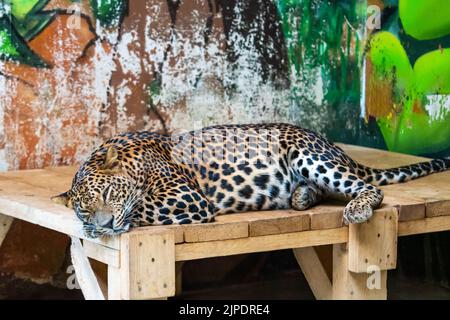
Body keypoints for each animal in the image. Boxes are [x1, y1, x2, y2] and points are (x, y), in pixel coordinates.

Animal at [52, 122, 450, 238]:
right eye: (83, 209)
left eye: (108, 192)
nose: (102, 225)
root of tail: (333, 145)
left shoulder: (187, 199)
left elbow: (139, 208)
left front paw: (109, 225)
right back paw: (301, 197)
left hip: (308, 155)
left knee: (372, 189)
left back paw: (356, 209)